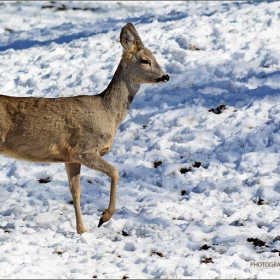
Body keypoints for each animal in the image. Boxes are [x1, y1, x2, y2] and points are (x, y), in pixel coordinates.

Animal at [0, 21, 168, 233]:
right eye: (145, 60)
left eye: (155, 56)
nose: (166, 76)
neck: (107, 112)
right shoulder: (83, 149)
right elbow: (115, 172)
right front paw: (104, 217)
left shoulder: (70, 157)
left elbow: (75, 191)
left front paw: (82, 230)